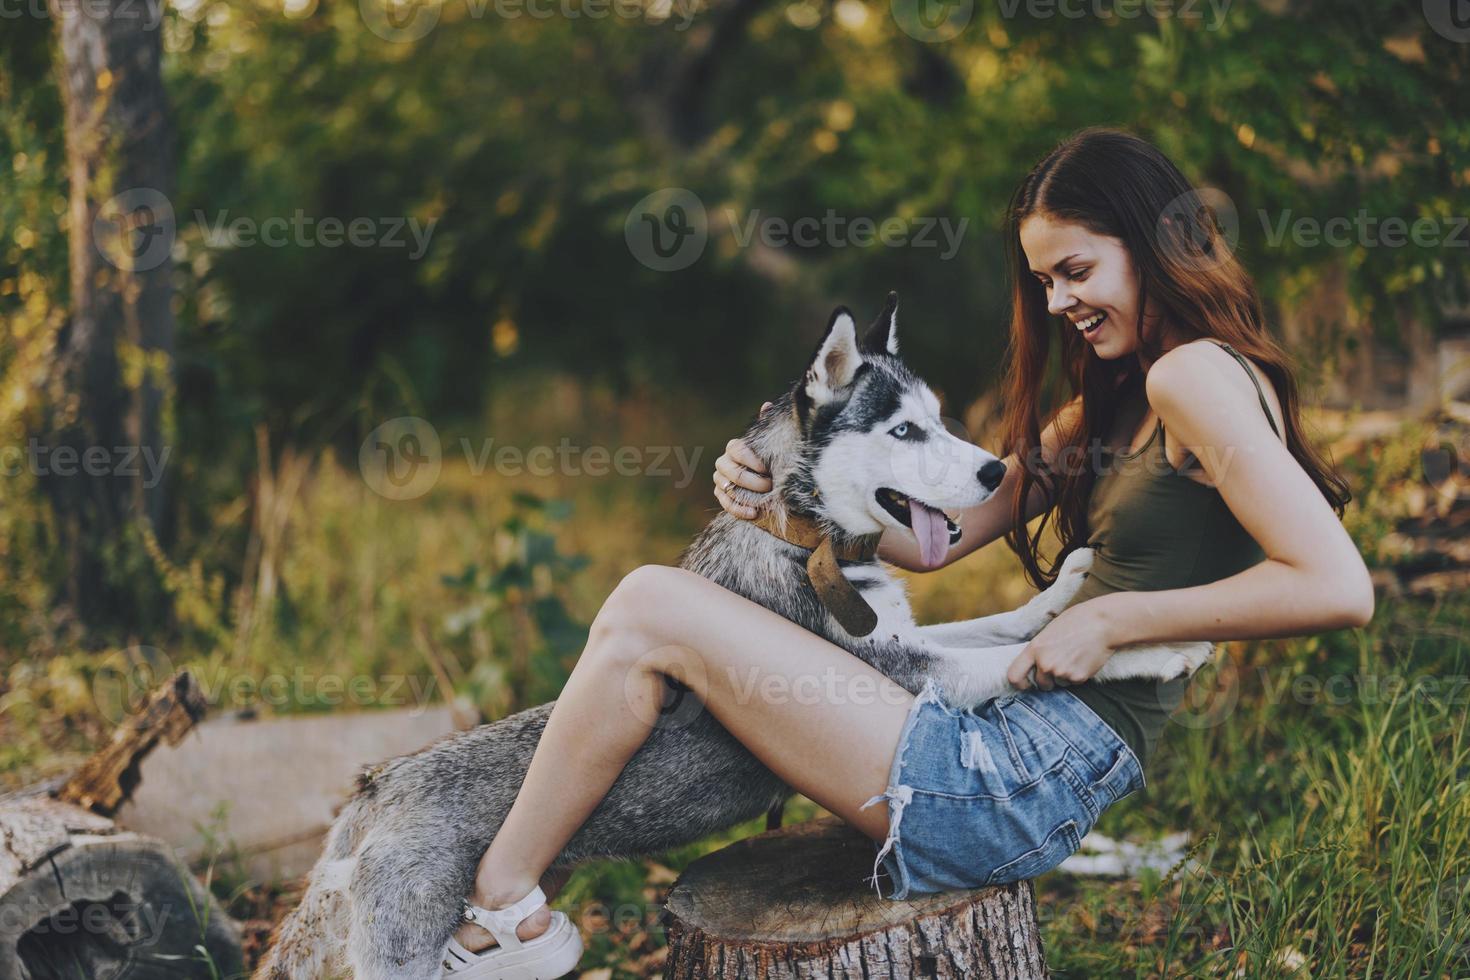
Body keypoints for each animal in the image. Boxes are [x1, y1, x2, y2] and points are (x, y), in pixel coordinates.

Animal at [258, 295, 1211, 975]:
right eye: (904, 429)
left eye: (941, 419)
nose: (992, 471)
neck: (804, 540)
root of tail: (373, 789)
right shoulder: (905, 672)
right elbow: (1020, 659)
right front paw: (1160, 649)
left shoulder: (915, 634)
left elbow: (1007, 623)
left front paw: (1077, 589)